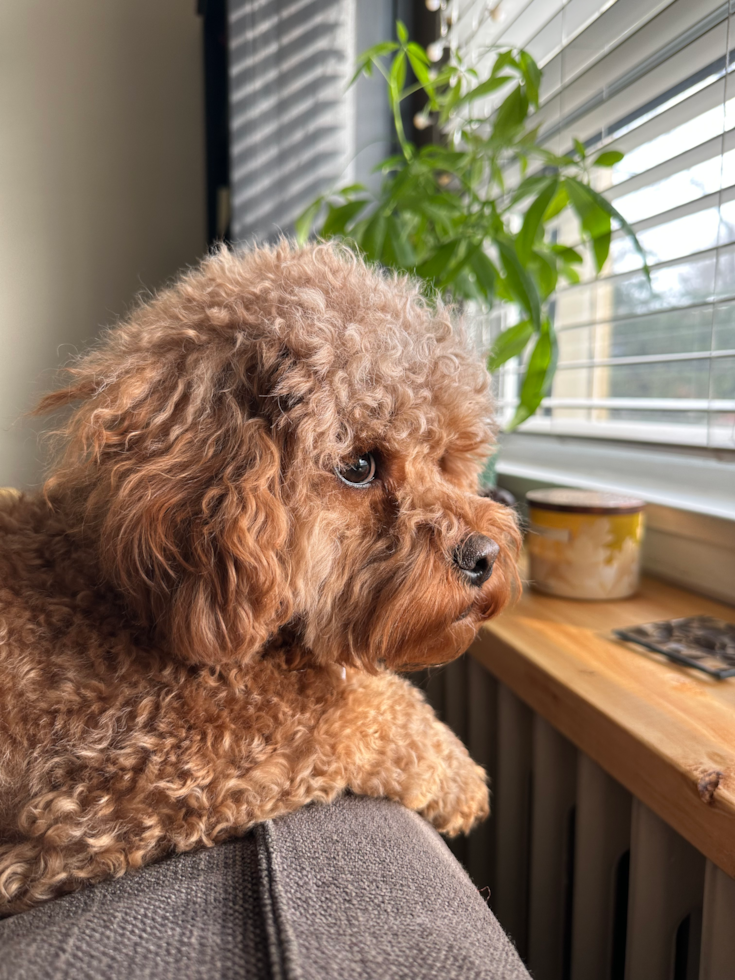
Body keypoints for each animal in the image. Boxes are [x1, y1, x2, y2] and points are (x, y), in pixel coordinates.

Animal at [0, 241, 520, 916]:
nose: (485, 555)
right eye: (358, 466)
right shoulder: (114, 780)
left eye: (443, 457)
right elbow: (347, 708)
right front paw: (459, 774)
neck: (119, 596)